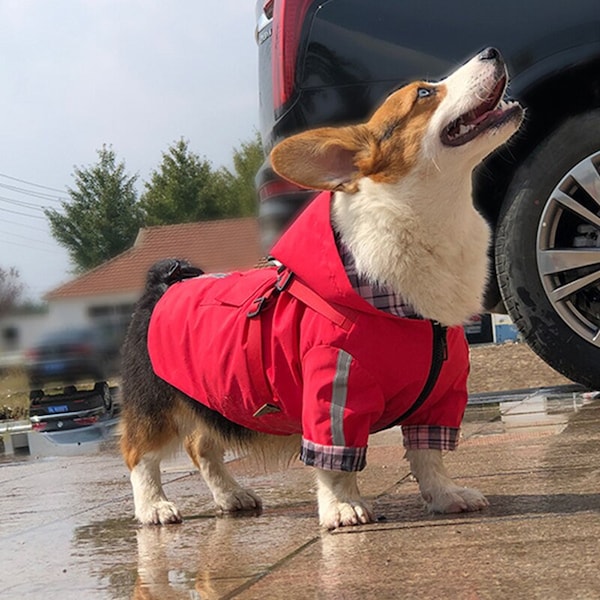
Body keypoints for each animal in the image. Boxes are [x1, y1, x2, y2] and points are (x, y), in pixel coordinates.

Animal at [119, 50, 524, 528]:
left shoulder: (442, 394)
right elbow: (335, 464)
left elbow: (428, 457)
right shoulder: (334, 388)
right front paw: (343, 508)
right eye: (424, 93)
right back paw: (154, 507)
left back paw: (232, 496)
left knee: (201, 447)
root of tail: (164, 282)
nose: (493, 51)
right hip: (155, 408)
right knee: (140, 455)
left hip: (213, 400)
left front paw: (445, 495)